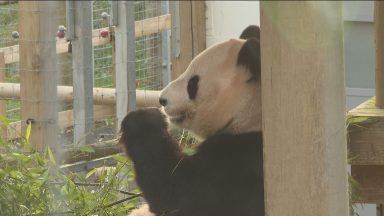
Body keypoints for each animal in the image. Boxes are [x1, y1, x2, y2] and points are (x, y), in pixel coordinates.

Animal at [121, 25, 264, 216]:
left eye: (192, 83)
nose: (162, 99)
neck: (251, 112)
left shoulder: (240, 160)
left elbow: (177, 192)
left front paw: (143, 120)